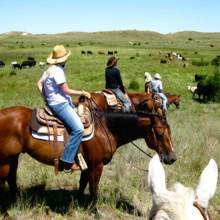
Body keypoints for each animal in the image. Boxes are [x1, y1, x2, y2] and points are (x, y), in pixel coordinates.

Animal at [0, 105, 176, 213]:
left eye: (170, 131)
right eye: (160, 133)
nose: (172, 158)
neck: (106, 128)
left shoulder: (87, 165)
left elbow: (82, 184)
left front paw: (78, 204)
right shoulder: (96, 165)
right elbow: (93, 188)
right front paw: (94, 211)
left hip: (13, 158)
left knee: (12, 180)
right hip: (5, 160)